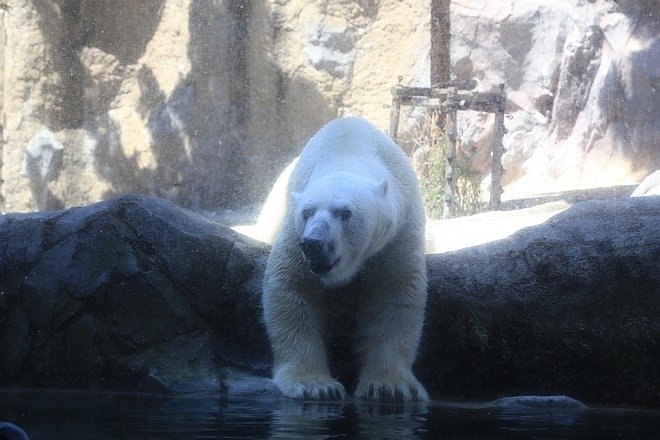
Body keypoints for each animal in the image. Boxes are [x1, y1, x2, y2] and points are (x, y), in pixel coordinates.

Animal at [262, 116, 428, 402]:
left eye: (345, 213)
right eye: (307, 212)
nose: (314, 244)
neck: (347, 148)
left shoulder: (399, 231)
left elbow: (395, 294)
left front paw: (389, 387)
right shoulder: (293, 231)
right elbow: (292, 288)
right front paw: (315, 385)